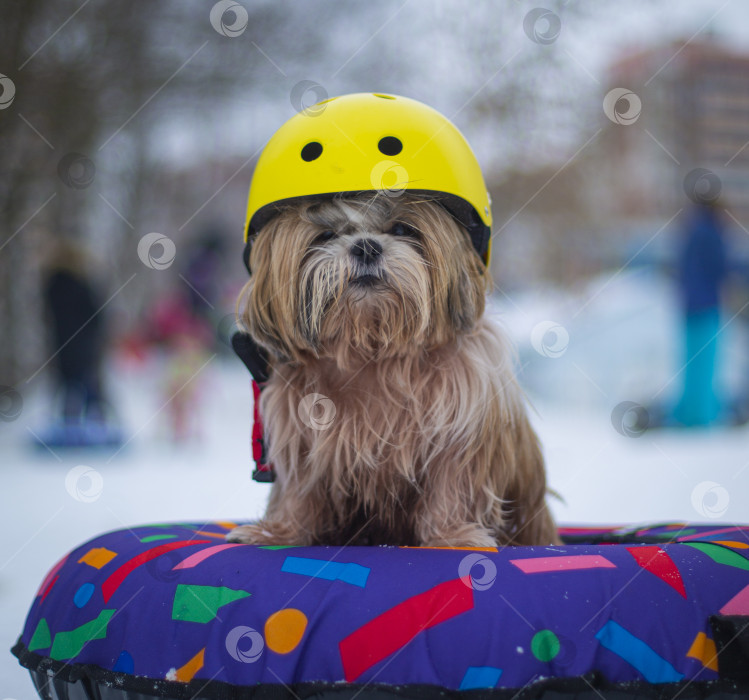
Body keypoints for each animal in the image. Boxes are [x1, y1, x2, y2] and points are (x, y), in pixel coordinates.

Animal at [225, 190, 560, 548]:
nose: (366, 247)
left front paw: (451, 533)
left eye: (401, 229)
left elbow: (453, 482)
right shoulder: (296, 428)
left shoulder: (463, 421)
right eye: (326, 235)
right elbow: (299, 489)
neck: (370, 351)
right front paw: (277, 531)